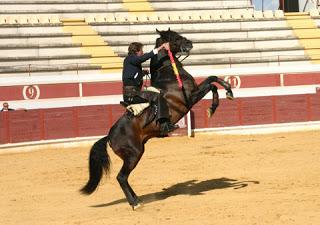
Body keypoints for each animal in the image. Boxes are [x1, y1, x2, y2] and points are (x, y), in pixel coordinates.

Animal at [81, 29, 234, 210]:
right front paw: (214, 106)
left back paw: (137, 199)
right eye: (175, 37)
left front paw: (227, 93)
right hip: (134, 154)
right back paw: (135, 203)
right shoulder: (191, 98)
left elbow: (212, 78)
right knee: (121, 177)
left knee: (123, 178)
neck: (168, 74)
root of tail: (109, 136)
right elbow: (211, 83)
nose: (189, 43)